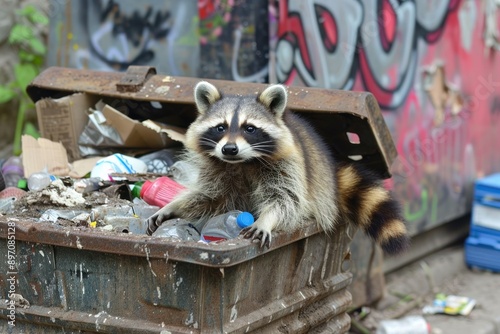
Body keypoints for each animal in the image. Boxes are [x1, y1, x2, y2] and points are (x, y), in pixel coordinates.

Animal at [147, 81, 410, 253]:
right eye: (220, 127)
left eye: (249, 128)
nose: (229, 149)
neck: (242, 162)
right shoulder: (216, 168)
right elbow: (209, 196)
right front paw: (173, 206)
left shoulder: (288, 163)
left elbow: (285, 199)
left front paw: (267, 219)